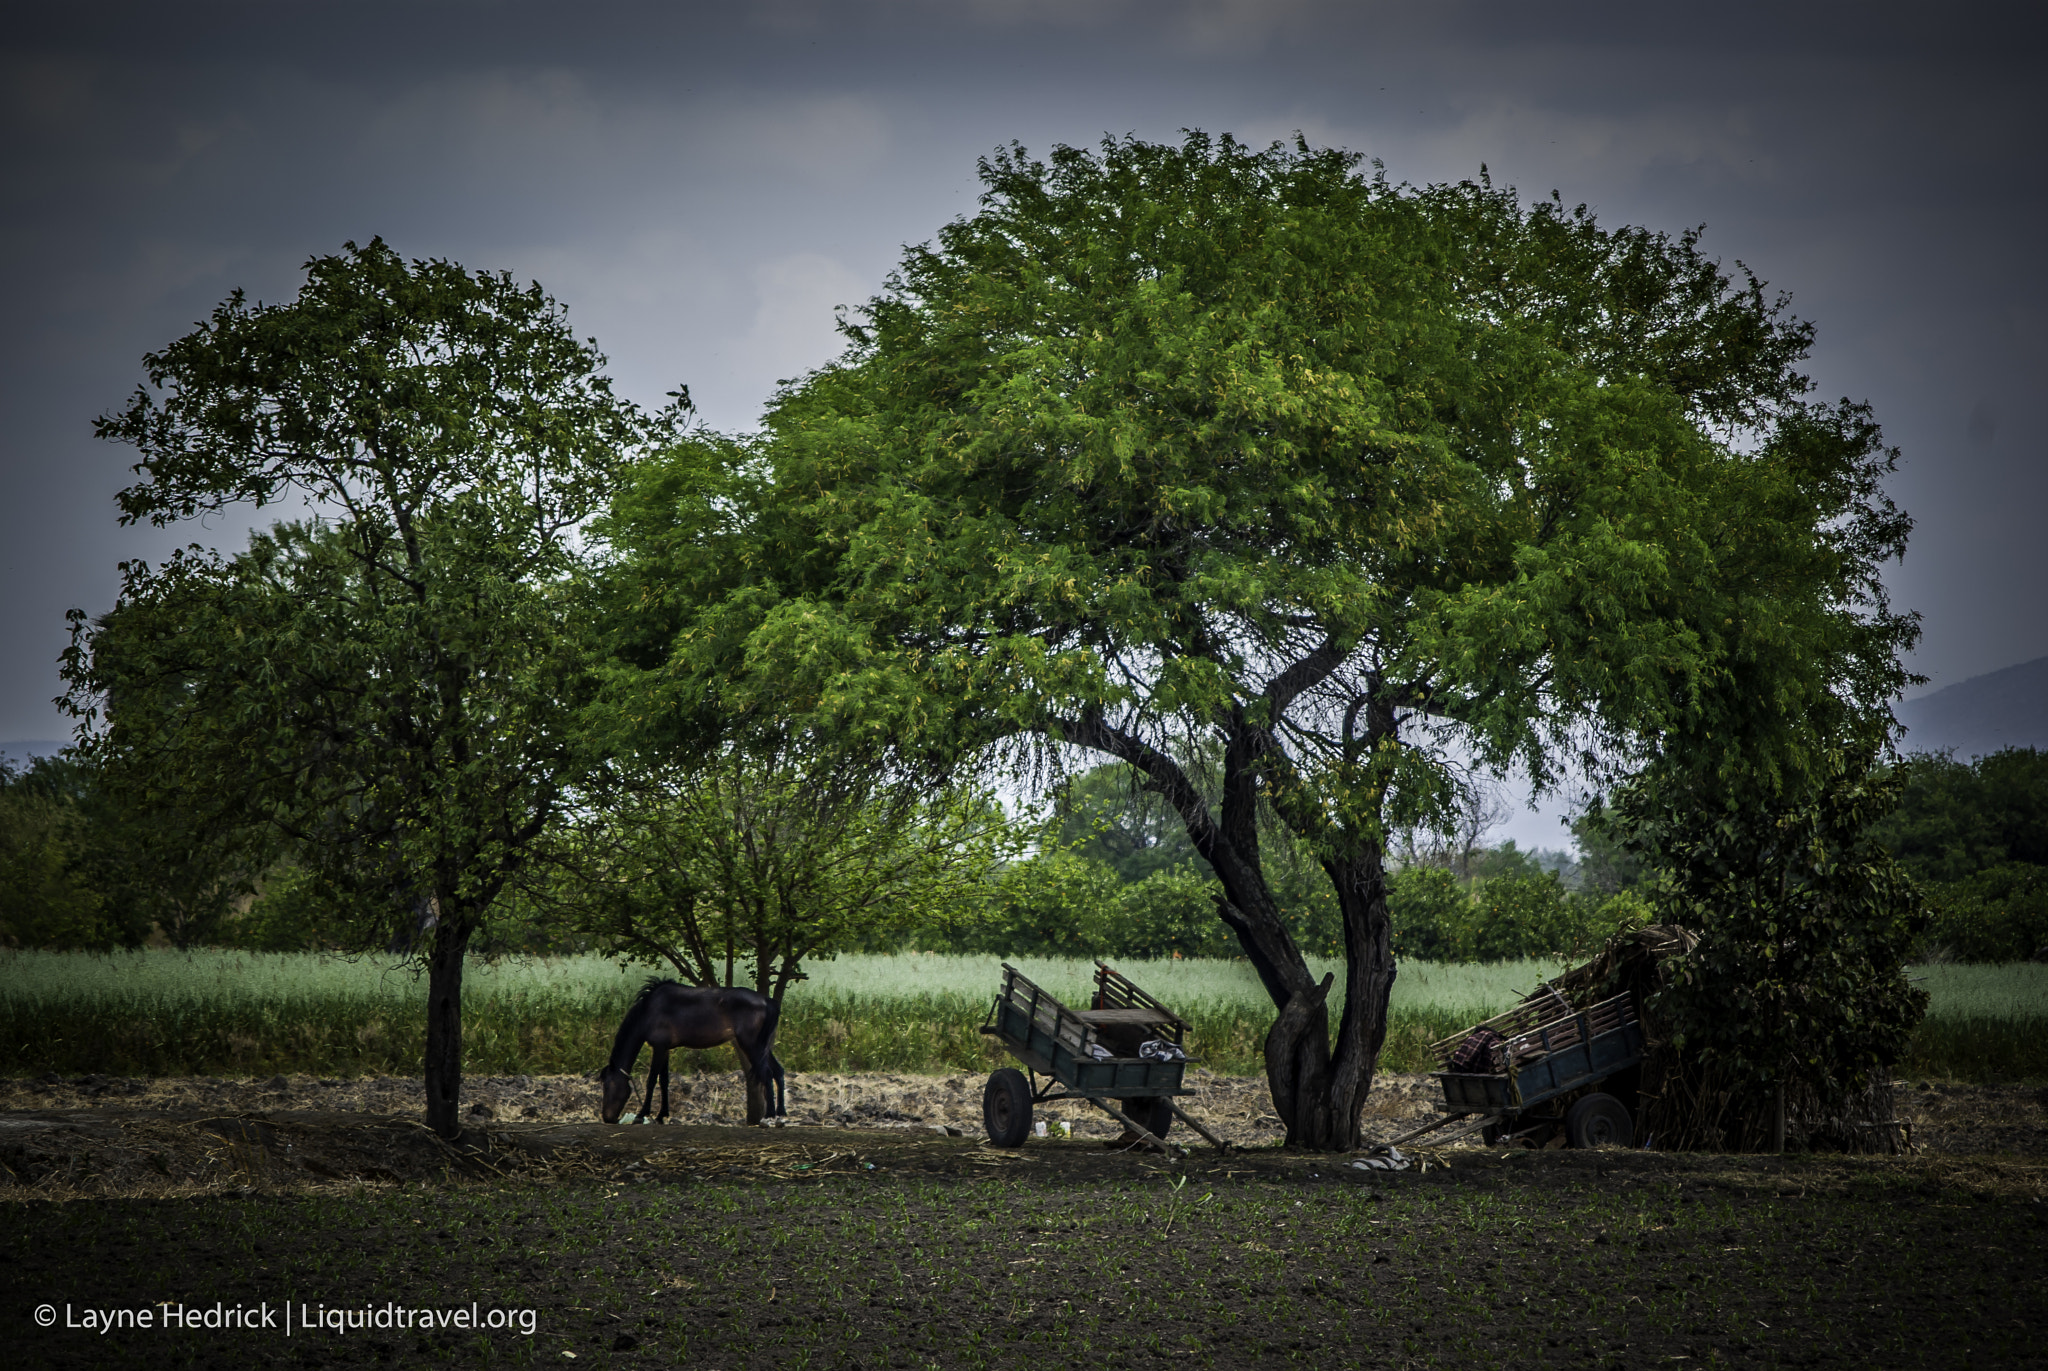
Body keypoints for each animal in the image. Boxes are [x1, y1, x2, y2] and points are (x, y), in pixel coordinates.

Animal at [598, 971, 786, 1123]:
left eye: (607, 1086)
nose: (607, 1118)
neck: (649, 1011)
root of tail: (768, 1001)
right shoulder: (665, 1049)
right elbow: (664, 1081)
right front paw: (661, 1115)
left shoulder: (659, 1047)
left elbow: (651, 1080)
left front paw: (641, 1114)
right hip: (763, 1047)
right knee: (778, 1071)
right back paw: (781, 1113)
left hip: (752, 1045)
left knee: (767, 1074)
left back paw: (769, 1114)